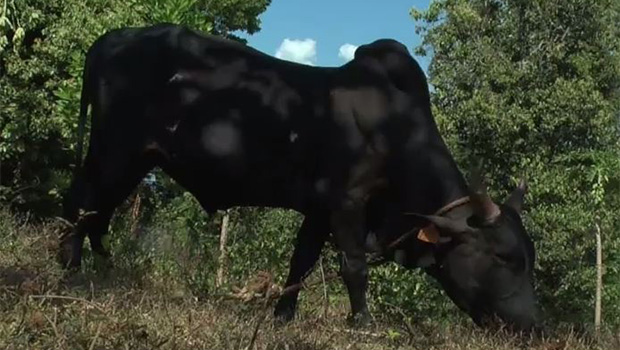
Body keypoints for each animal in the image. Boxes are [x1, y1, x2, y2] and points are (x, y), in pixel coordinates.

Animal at [60, 23, 540, 330]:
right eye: (502, 257)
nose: (535, 327)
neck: (397, 130)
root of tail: (109, 39)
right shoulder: (347, 201)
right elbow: (353, 266)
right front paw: (362, 322)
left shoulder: (318, 209)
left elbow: (302, 261)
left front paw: (283, 315)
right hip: (114, 151)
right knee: (79, 202)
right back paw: (70, 272)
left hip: (135, 160)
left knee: (97, 212)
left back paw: (100, 270)